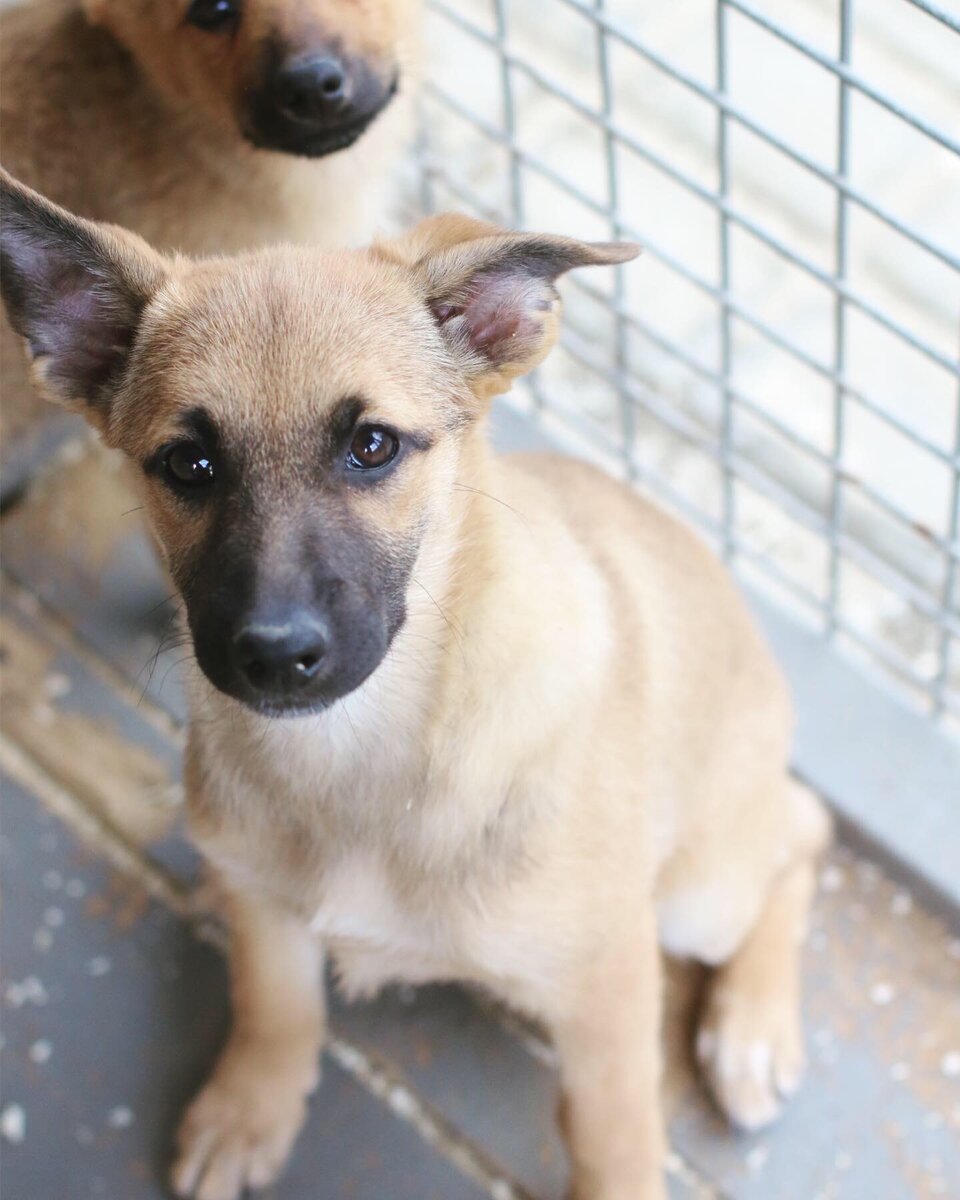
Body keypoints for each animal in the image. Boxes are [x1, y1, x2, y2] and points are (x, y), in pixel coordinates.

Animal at [1, 174, 830, 1200]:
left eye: (373, 446)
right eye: (187, 465)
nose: (274, 653)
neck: (359, 757)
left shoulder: (606, 982)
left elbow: (613, 1135)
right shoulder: (263, 903)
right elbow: (274, 1005)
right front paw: (250, 1108)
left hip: (698, 893)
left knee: (800, 832)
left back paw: (752, 1029)